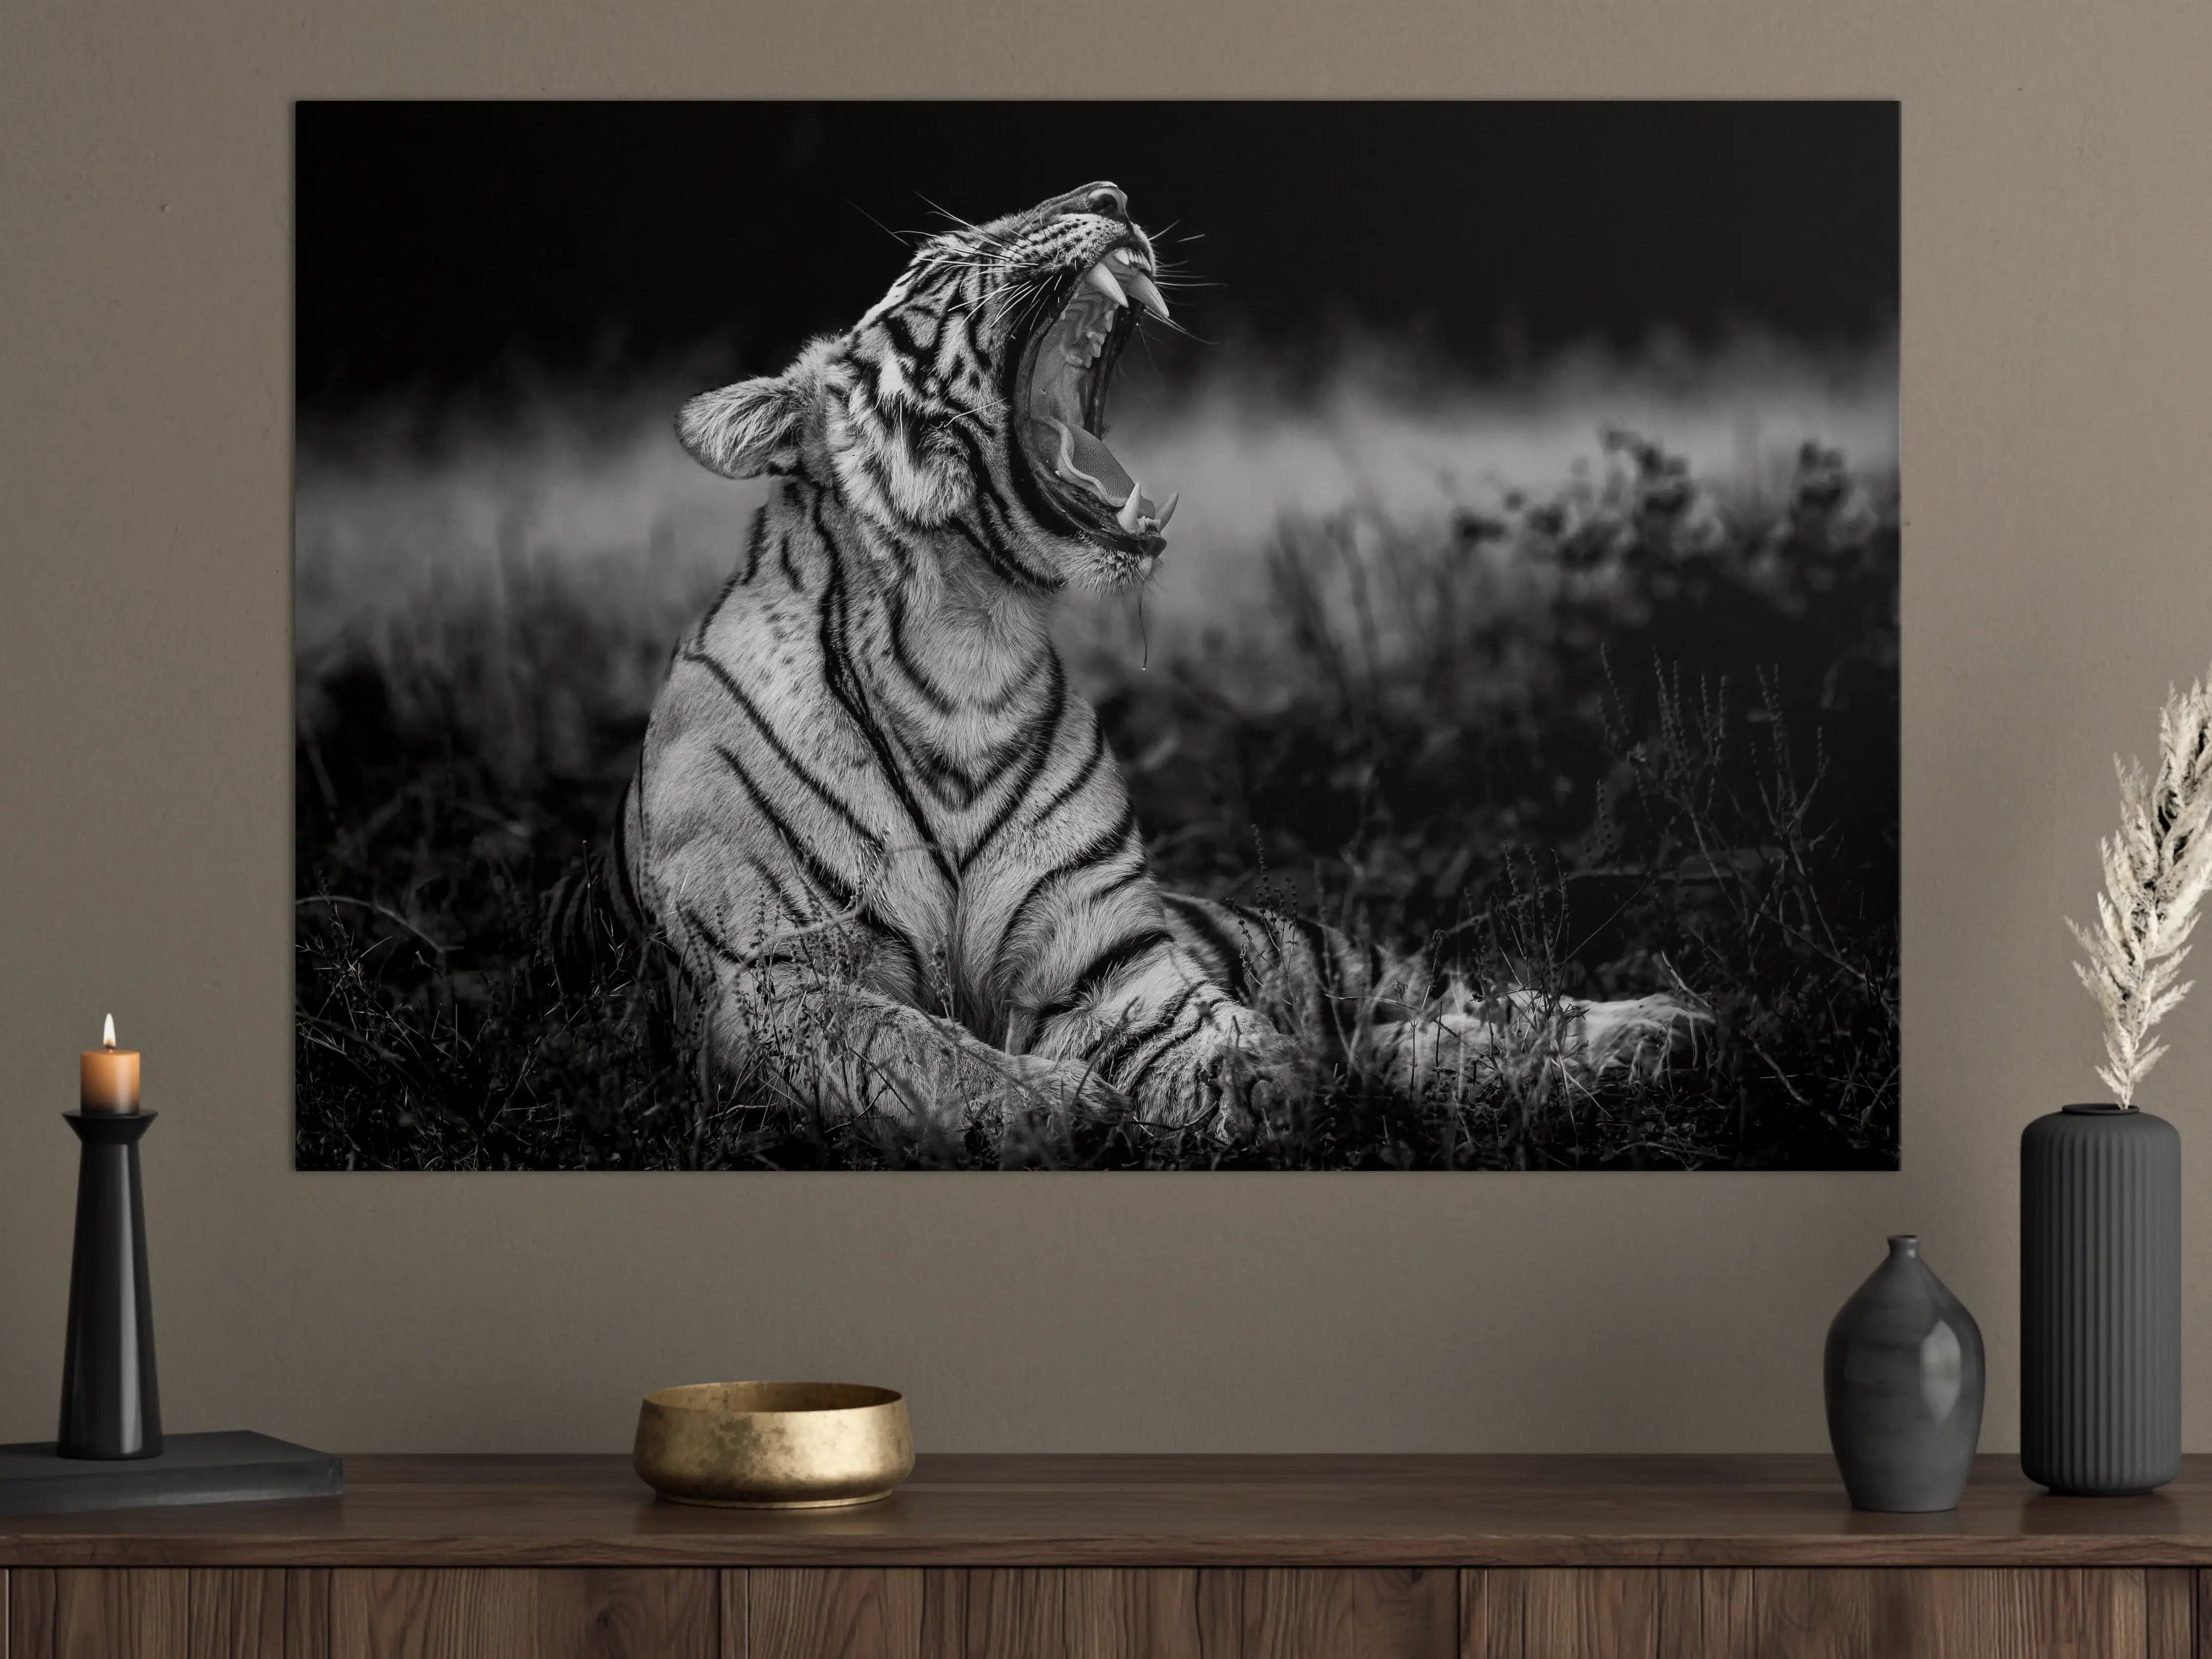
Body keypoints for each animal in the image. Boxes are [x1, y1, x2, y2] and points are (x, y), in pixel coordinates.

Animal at [615, 180, 1706, 1140]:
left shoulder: (1105, 952)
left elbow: (1191, 1024)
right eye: (941, 261)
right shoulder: (771, 974)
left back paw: (1659, 1027)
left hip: (1323, 949)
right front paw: (1062, 1104)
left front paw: (1253, 1078)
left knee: (1471, 996)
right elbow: (910, 1047)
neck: (963, 644)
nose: (1109, 197)